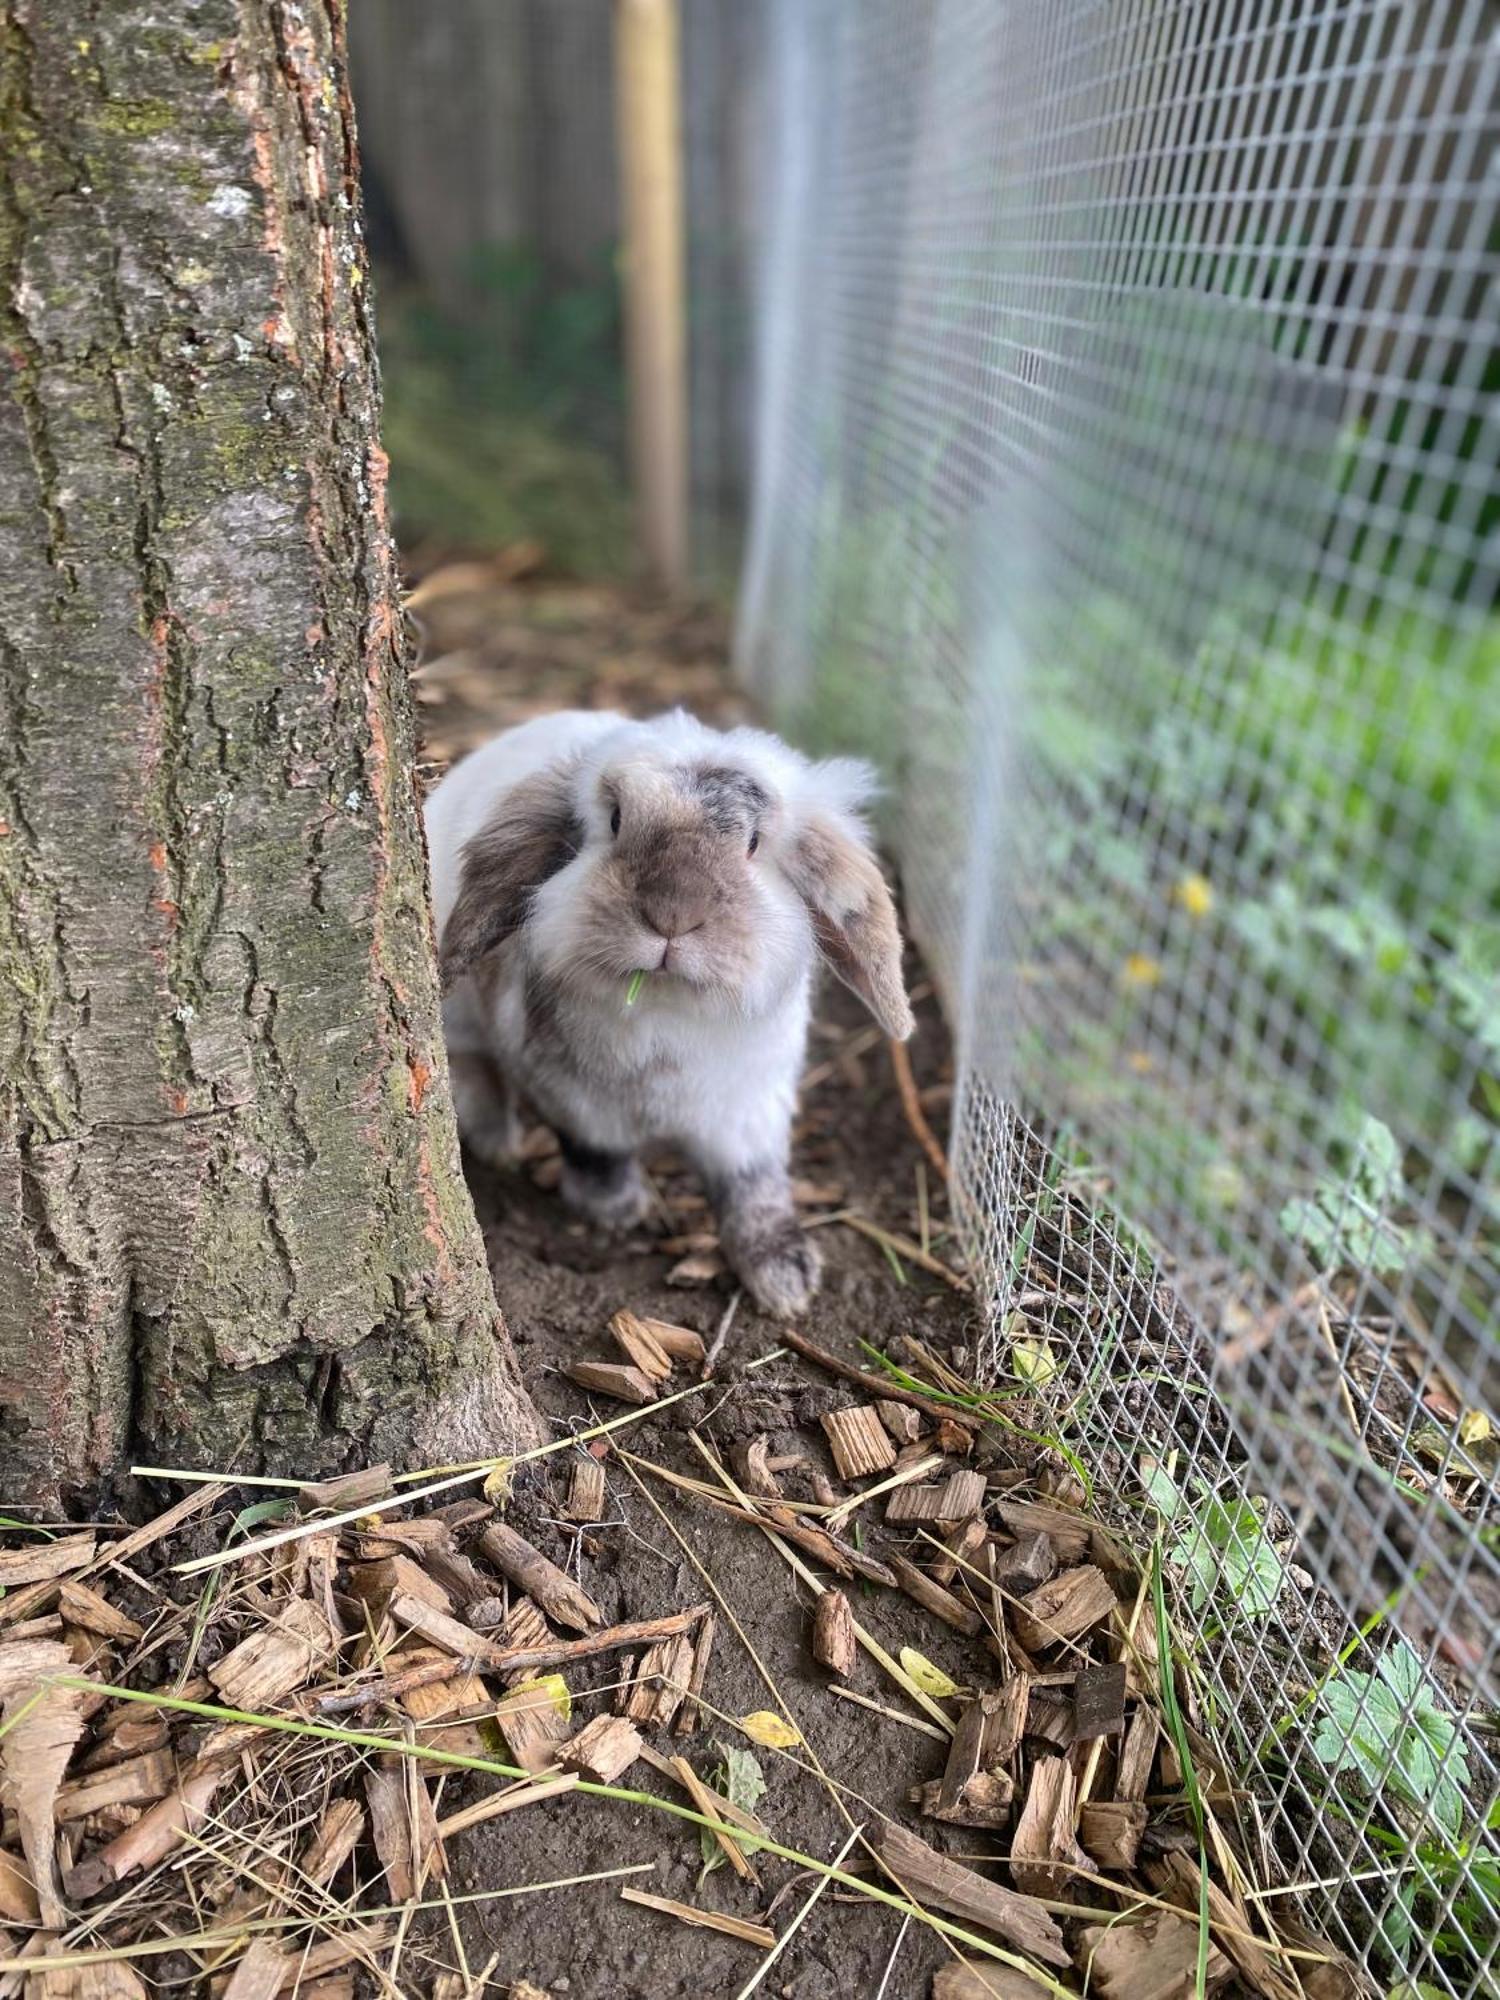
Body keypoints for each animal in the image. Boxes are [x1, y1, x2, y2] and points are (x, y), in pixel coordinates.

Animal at [426, 712, 916, 1320]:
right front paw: (615, 1212)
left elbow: (755, 1189)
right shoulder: (579, 1103)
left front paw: (786, 1280)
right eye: (615, 821)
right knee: (471, 1065)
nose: (672, 915)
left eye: (753, 844)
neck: (666, 1007)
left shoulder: (748, 1113)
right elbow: (597, 1154)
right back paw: (497, 1138)